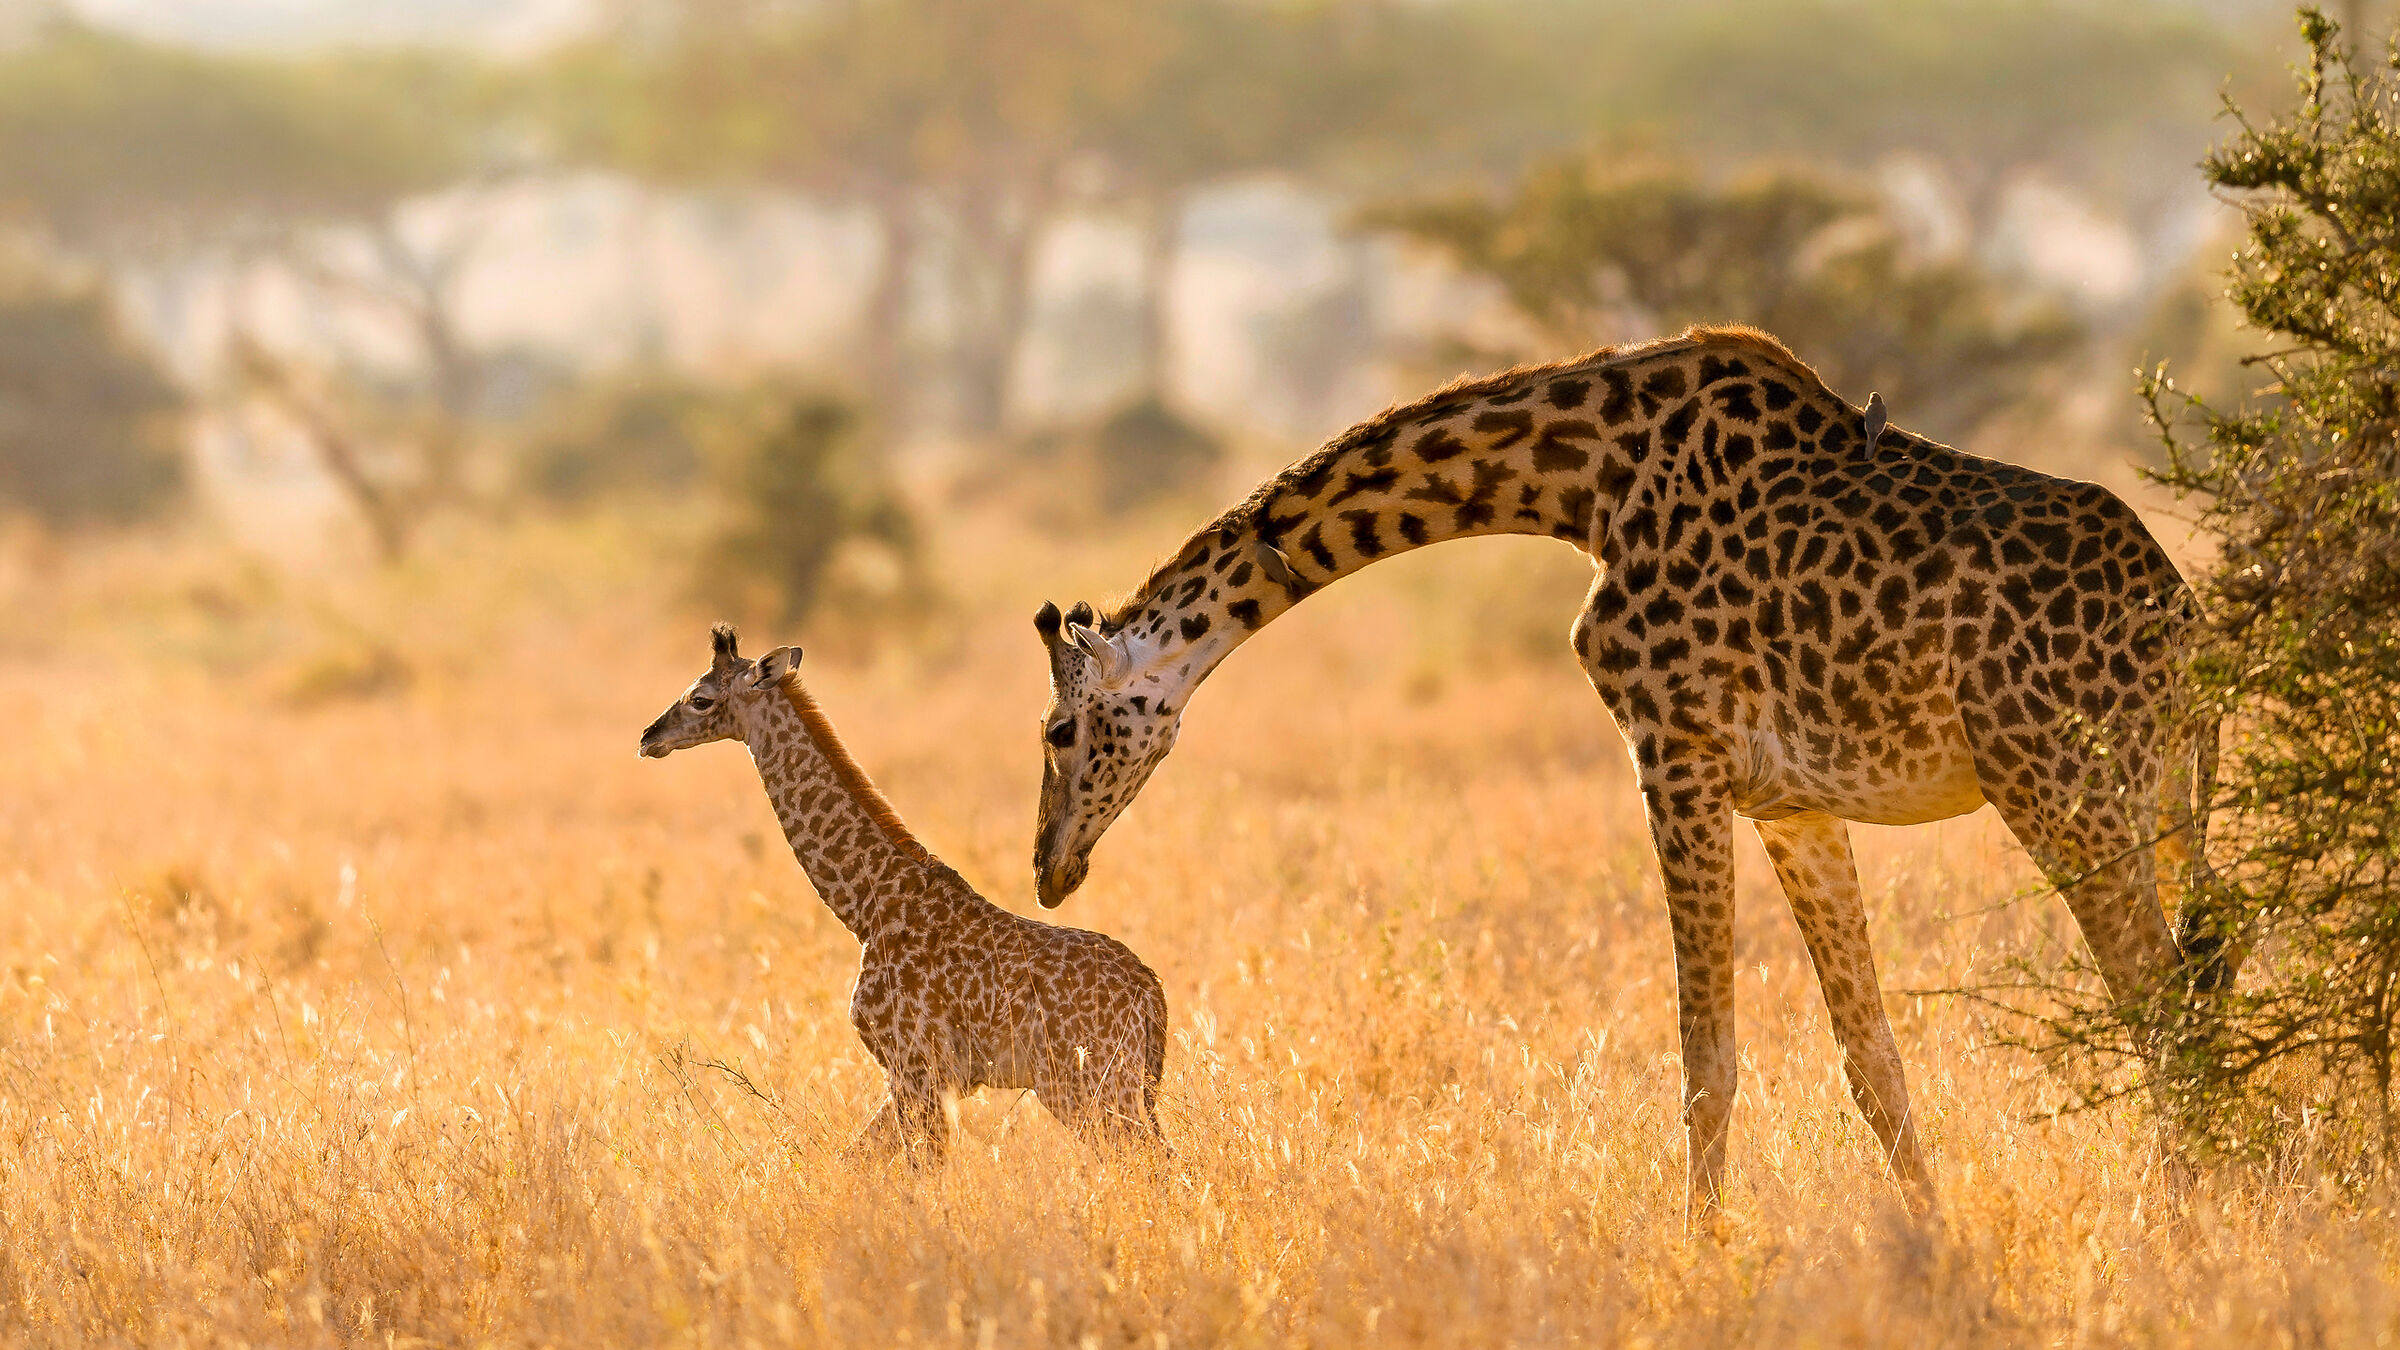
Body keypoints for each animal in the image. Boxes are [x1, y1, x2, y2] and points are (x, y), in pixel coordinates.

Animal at [642, 624, 1168, 1162]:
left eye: (700, 699)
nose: (649, 737)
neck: (866, 906)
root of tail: (1152, 994)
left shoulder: (920, 1067)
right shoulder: (925, 1077)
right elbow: (859, 1157)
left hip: (1090, 1083)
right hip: (1108, 1086)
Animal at [1028, 325, 2225, 1221]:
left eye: (1057, 731)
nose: (1048, 868)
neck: (1579, 484)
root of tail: (2183, 621)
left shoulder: (1673, 753)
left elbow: (1706, 1058)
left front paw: (1703, 1255)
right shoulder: (1792, 803)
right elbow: (1870, 1059)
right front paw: (1933, 1242)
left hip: (2059, 785)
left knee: (2162, 999)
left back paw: (2179, 1220)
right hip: (2145, 795)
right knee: (2190, 984)